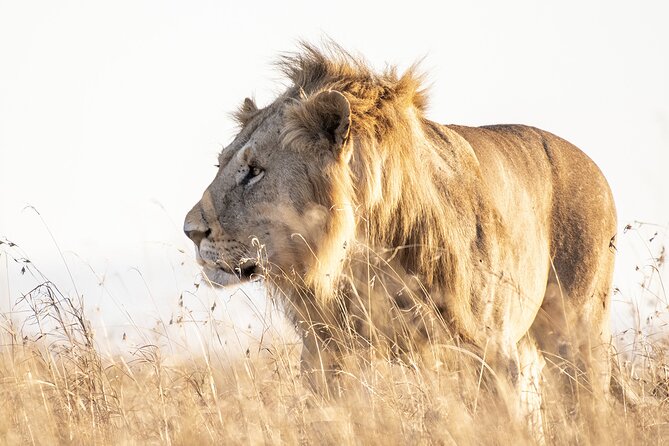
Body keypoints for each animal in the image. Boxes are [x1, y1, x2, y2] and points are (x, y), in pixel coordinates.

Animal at [184, 43, 616, 426]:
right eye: (222, 164)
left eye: (254, 171)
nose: (191, 232)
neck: (359, 252)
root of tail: (595, 169)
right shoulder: (326, 353)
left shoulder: (489, 351)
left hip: (576, 334)